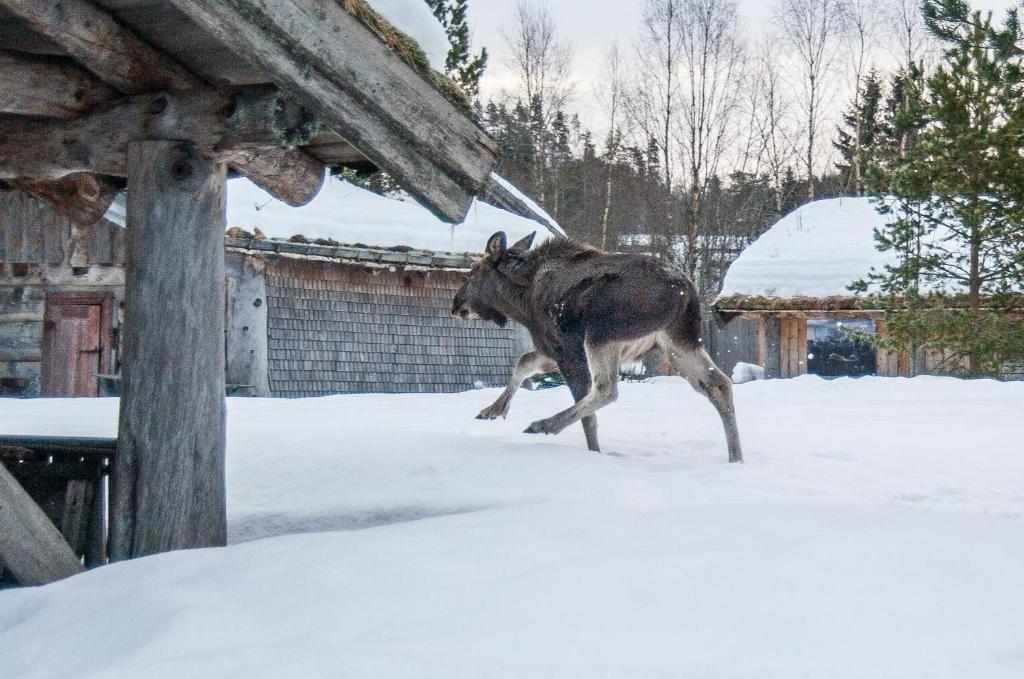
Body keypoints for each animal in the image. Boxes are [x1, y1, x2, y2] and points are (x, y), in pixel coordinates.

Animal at [452, 232, 741, 462]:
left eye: (473, 273)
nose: (456, 304)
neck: (521, 302)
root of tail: (686, 292)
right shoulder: (551, 351)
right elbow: (523, 363)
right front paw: (492, 410)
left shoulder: (566, 350)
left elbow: (585, 414)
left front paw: (594, 453)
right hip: (676, 342)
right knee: (718, 383)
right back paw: (736, 457)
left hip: (602, 334)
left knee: (606, 389)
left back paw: (542, 424)